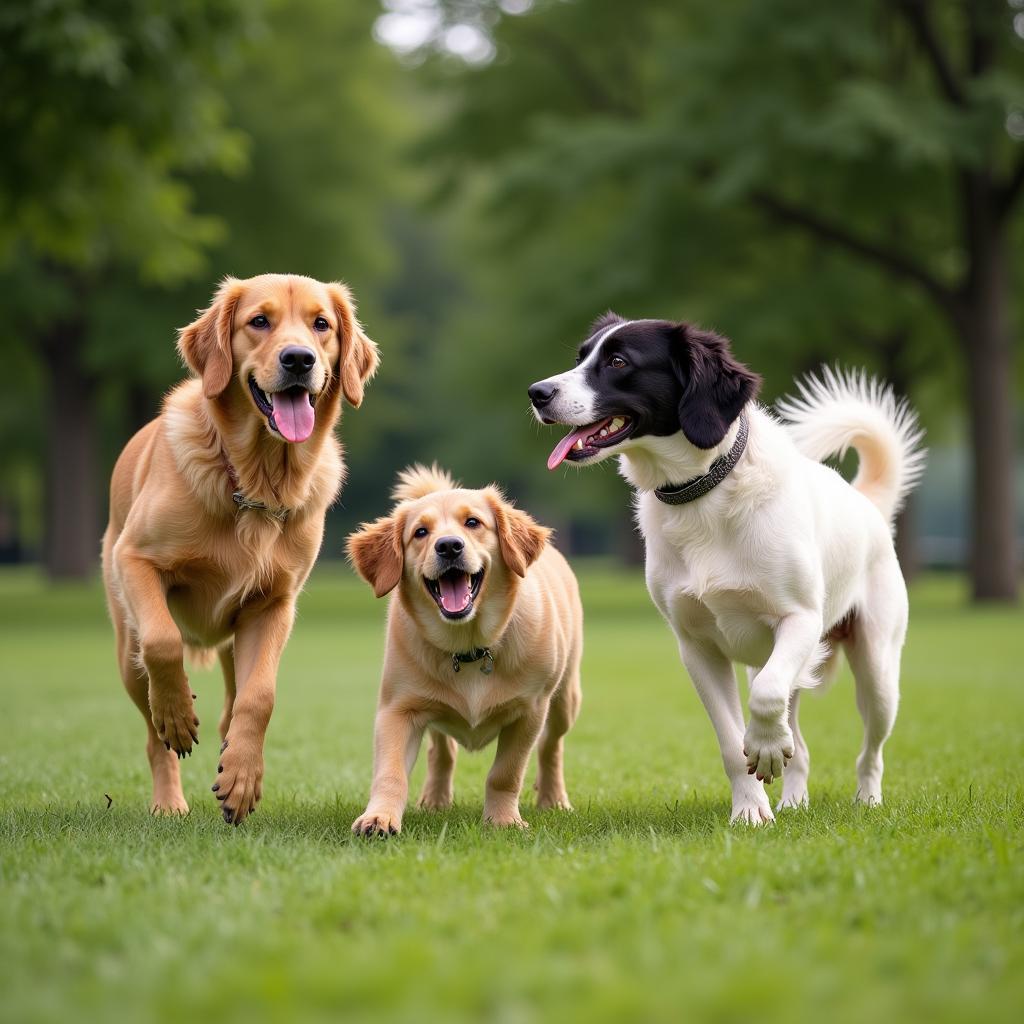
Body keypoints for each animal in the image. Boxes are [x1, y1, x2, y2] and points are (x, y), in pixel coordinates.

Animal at [102, 270, 380, 823]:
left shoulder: (273, 603)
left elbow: (260, 697)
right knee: (152, 731)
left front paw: (242, 777)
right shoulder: (136, 558)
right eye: (259, 321)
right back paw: (169, 798)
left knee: (233, 702)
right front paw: (178, 714)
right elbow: (164, 642)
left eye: (321, 324)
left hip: (234, 639)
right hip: (126, 648)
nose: (299, 360)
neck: (255, 480)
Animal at [346, 468, 581, 835]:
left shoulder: (529, 711)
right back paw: (435, 799)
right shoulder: (398, 708)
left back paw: (553, 799)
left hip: (564, 699)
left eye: (473, 523)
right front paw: (379, 818)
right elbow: (390, 773)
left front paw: (503, 820)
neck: (469, 647)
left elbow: (506, 773)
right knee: (442, 751)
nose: (448, 546)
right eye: (420, 532)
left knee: (551, 746)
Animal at [532, 313, 925, 823]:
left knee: (870, 749)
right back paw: (793, 800)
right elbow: (731, 742)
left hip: (877, 671)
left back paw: (867, 800)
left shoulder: (800, 620)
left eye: (618, 361)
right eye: (581, 357)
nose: (537, 392)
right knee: (801, 745)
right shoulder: (696, 648)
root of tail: (867, 503)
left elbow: (766, 700)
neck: (705, 493)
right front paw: (751, 809)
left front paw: (765, 750)